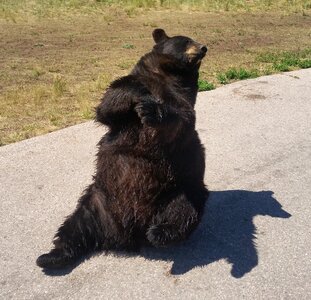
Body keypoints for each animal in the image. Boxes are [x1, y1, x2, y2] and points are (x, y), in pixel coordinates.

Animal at [37, 28, 211, 270]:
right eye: (185, 40)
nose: (204, 47)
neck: (169, 75)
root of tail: (126, 235)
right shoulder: (130, 91)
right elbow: (109, 103)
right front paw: (138, 93)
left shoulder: (182, 100)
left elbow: (180, 120)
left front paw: (152, 110)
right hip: (96, 202)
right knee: (73, 226)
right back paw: (50, 257)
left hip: (181, 189)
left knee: (183, 211)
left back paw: (159, 233)